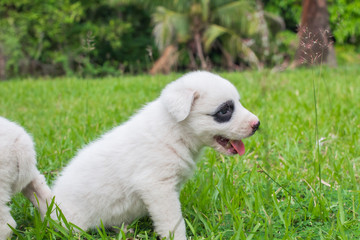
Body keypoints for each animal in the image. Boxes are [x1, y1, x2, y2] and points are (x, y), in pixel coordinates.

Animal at [52, 71, 258, 240]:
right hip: (72, 222)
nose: (257, 124)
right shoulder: (158, 187)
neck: (175, 131)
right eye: (224, 110)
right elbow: (173, 222)